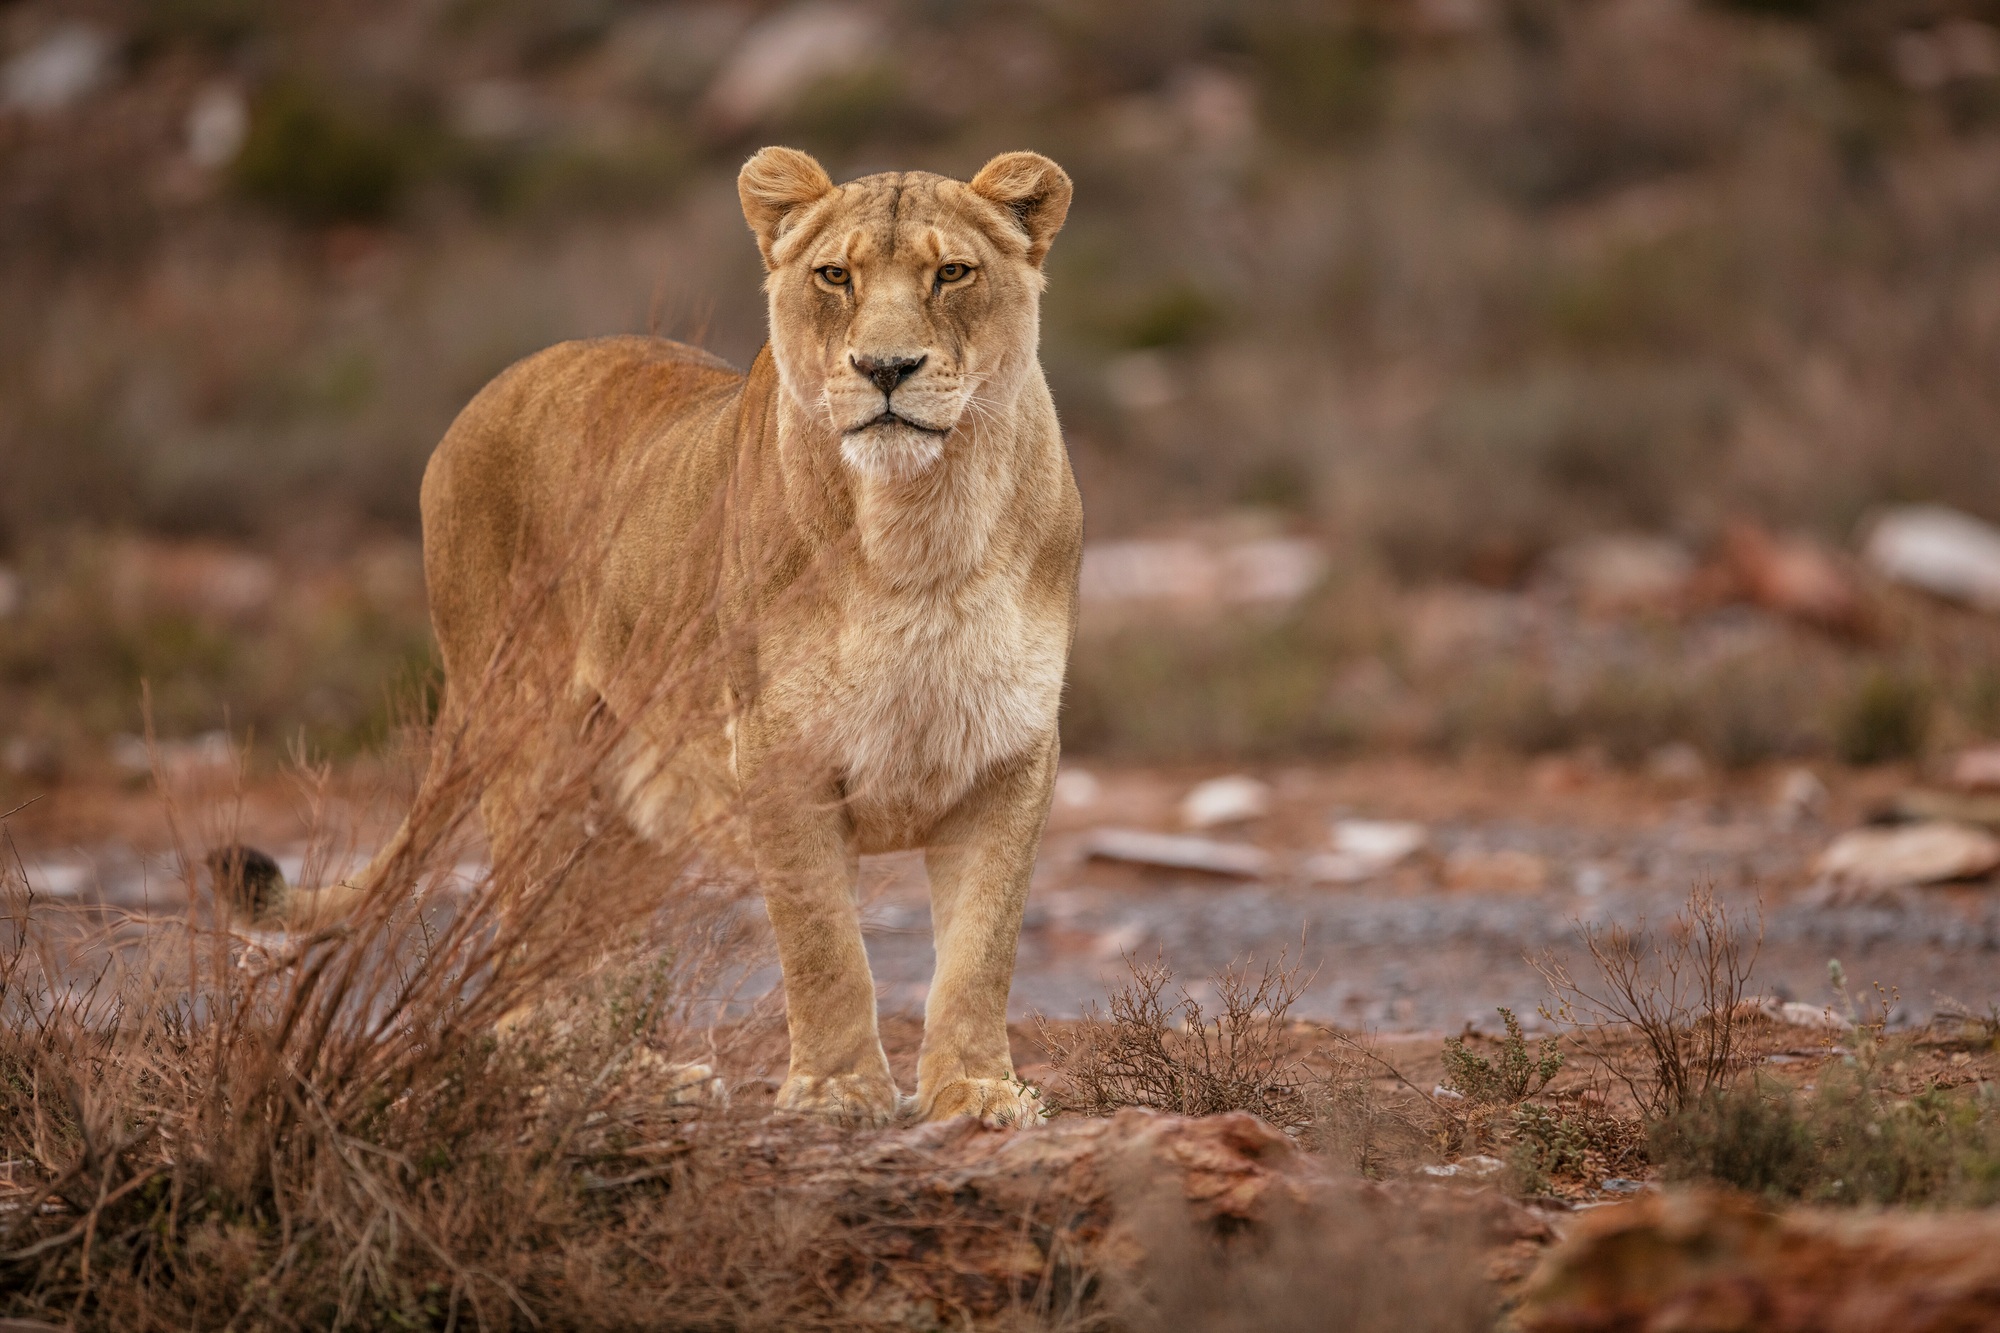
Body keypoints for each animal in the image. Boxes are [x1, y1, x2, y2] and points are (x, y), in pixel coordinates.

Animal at [212, 146, 1081, 1129]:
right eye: (835, 276)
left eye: (952, 273)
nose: (885, 367)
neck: (921, 527)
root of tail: (485, 396)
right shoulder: (777, 751)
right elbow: (822, 941)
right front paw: (837, 1090)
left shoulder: (1011, 756)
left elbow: (982, 948)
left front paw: (978, 1090)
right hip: (526, 739)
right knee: (528, 949)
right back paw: (567, 1076)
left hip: (634, 806)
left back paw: (638, 1075)